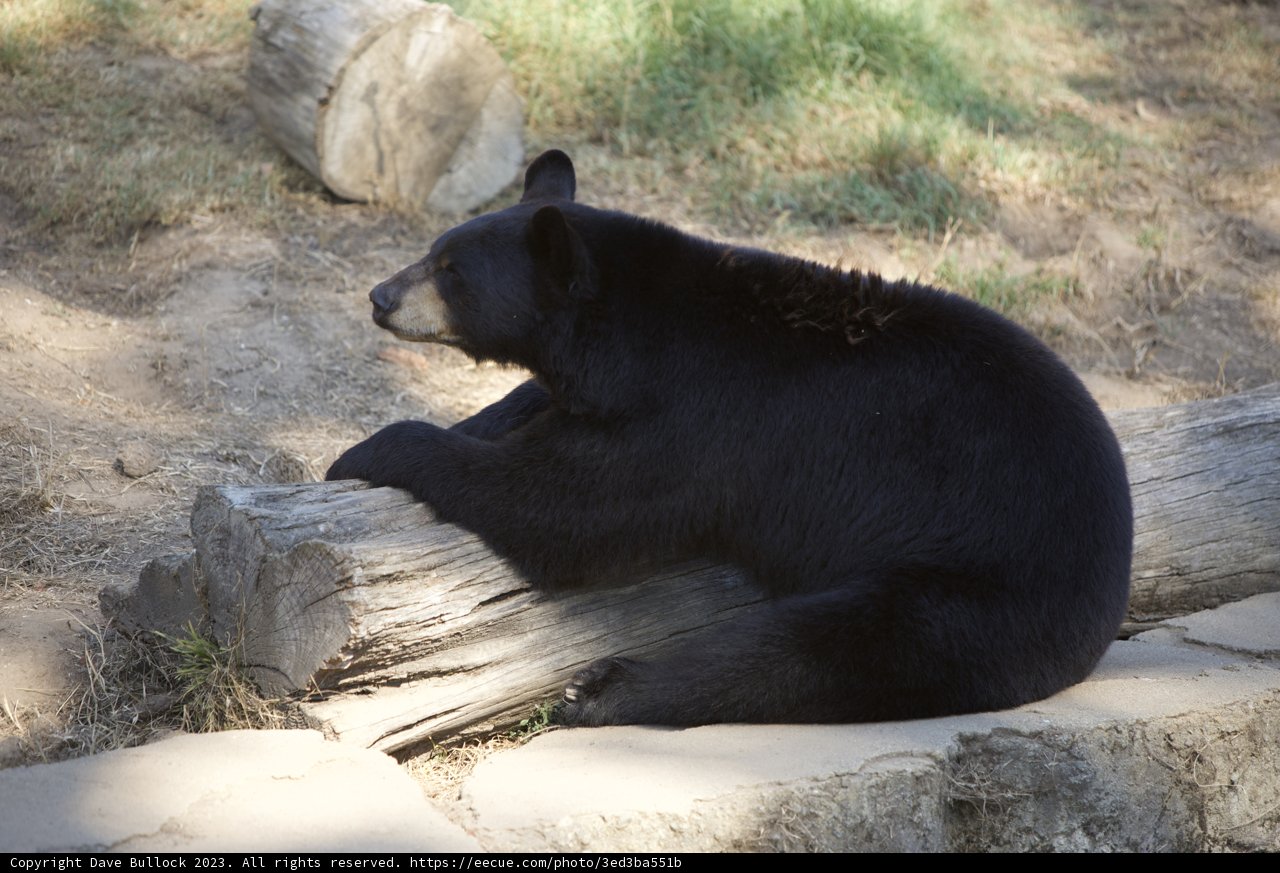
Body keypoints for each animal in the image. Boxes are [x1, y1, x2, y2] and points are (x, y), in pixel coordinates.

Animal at [327, 149, 1133, 727]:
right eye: (434, 249)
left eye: (450, 271)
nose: (380, 296)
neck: (634, 334)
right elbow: (540, 418)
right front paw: (488, 414)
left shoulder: (695, 424)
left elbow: (567, 510)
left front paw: (370, 448)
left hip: (985, 585)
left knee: (810, 652)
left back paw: (607, 691)